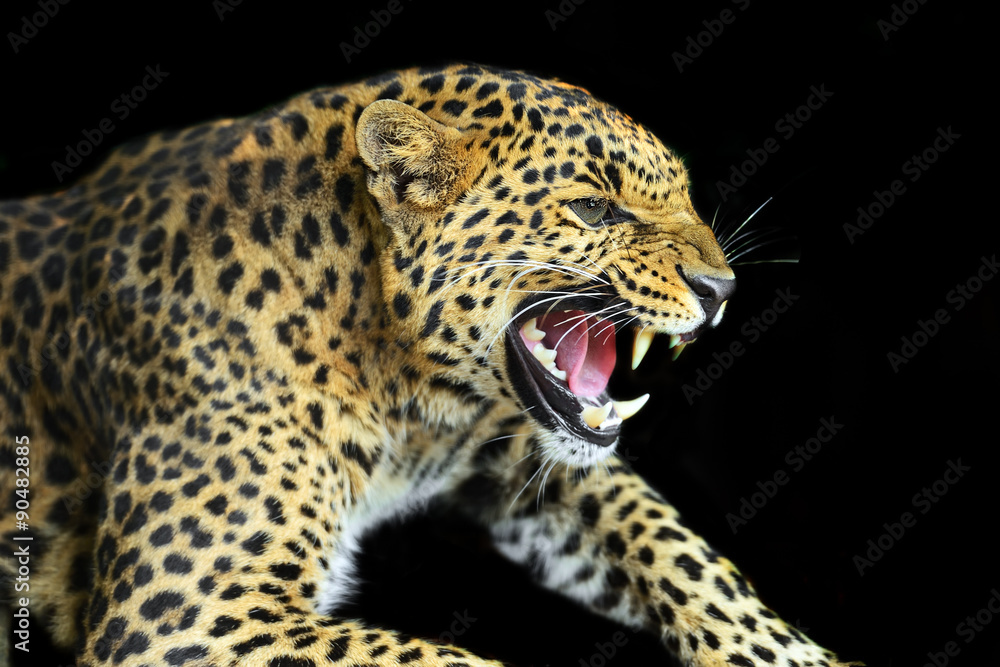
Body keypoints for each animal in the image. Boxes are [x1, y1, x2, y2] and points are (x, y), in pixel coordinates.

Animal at [0, 63, 859, 666]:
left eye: (684, 195)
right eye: (593, 208)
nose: (722, 289)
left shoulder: (522, 455)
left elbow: (683, 553)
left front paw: (802, 657)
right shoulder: (188, 616)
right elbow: (441, 660)